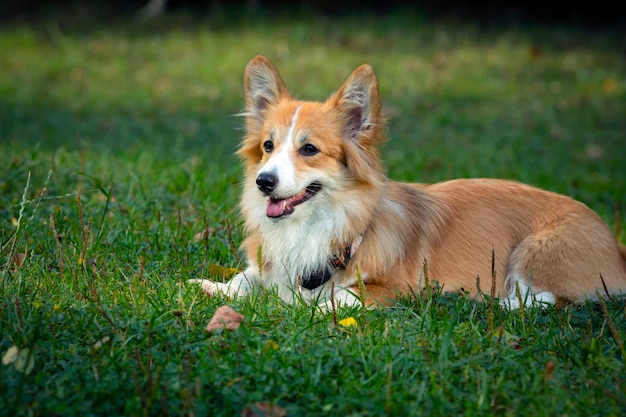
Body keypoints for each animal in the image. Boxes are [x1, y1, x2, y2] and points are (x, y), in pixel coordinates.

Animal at [188, 54, 620, 308]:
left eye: (309, 149)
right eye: (268, 146)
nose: (264, 182)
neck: (318, 225)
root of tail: (618, 247)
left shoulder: (396, 289)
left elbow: (340, 297)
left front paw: (304, 305)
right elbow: (248, 278)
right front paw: (215, 288)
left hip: (537, 249)